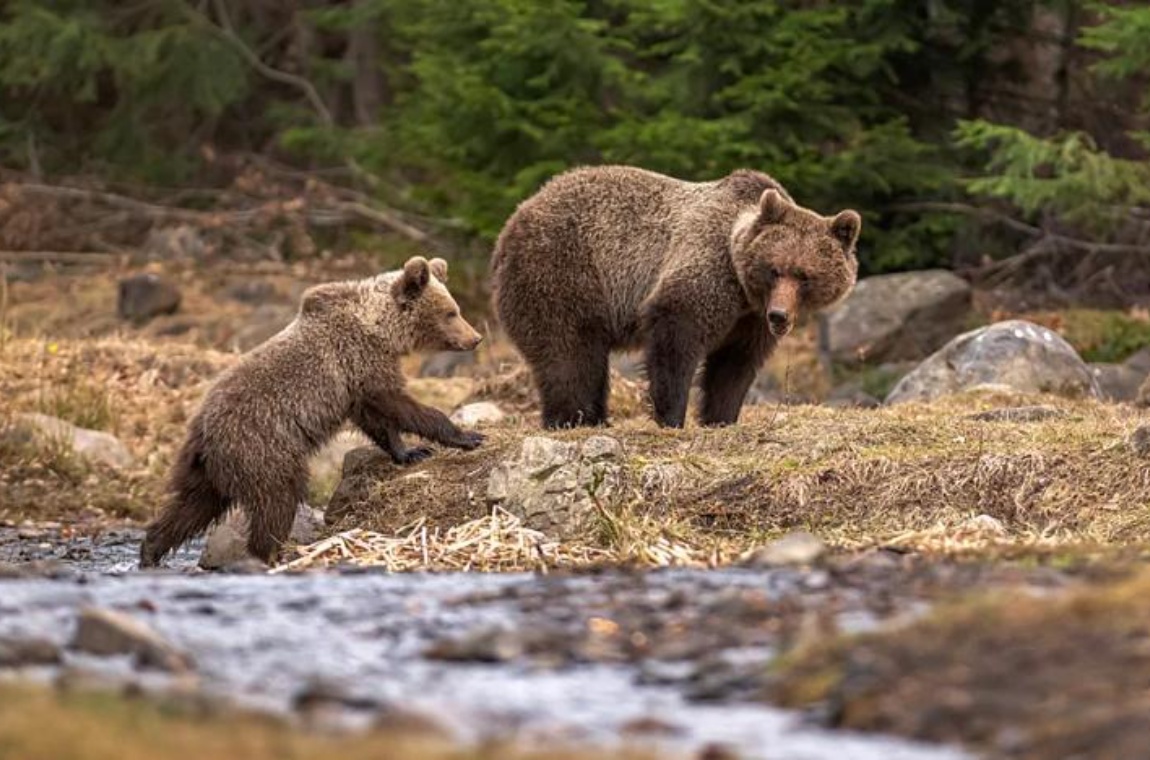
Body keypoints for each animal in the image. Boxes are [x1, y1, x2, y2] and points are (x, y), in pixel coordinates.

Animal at [139, 256, 485, 568]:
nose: (476, 338)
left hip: (206, 469)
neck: (381, 327)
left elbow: (376, 418)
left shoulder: (356, 381)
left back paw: (150, 551)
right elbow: (396, 403)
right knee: (276, 501)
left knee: (191, 507)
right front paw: (465, 436)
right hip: (263, 449)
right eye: (451, 312)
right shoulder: (361, 360)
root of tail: (205, 435)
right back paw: (269, 553)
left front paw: (409, 452)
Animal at [491, 165, 861, 429]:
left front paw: (721, 417)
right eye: (774, 269)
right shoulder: (708, 271)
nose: (780, 316)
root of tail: (513, 219)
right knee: (568, 353)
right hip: (561, 271)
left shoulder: (749, 319)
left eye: (804, 275)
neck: (744, 288)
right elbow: (676, 335)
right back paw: (571, 418)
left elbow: (734, 363)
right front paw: (671, 416)